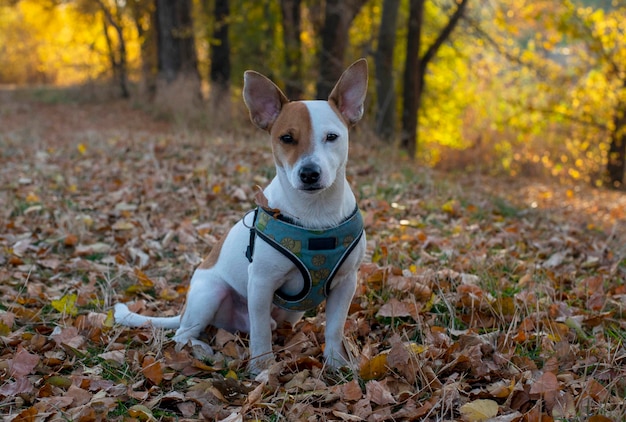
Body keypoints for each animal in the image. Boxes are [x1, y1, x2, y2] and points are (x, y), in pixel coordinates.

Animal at [113, 58, 366, 372]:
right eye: (286, 138)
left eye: (332, 137)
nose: (309, 173)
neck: (315, 214)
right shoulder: (260, 284)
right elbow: (260, 334)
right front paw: (262, 368)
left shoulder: (346, 283)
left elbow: (334, 328)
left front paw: (335, 364)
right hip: (210, 293)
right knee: (184, 334)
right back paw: (202, 349)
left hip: (287, 314)